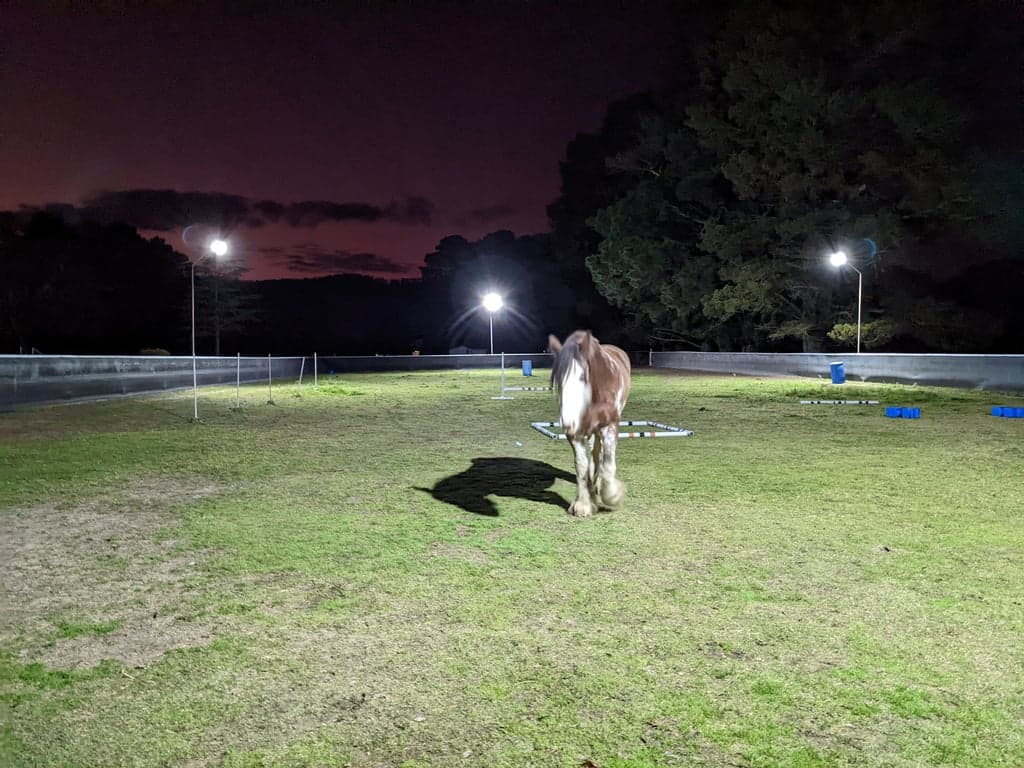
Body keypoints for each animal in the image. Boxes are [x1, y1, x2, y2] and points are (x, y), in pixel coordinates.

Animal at [548, 330, 632, 517]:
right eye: (558, 381)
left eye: (582, 377)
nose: (567, 422)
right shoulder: (577, 434)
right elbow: (581, 467)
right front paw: (584, 504)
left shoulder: (609, 427)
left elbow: (608, 465)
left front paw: (612, 495)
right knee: (594, 454)